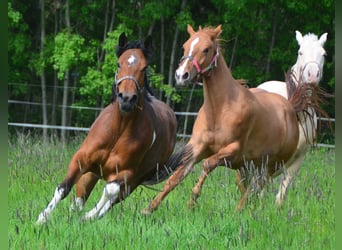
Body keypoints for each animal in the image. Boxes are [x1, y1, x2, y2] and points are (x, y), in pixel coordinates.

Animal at [36, 32, 178, 224]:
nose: (127, 98)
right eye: (119, 63)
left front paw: (88, 216)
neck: (118, 130)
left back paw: (87, 217)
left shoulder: (126, 174)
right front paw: (41, 219)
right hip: (93, 173)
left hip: (133, 182)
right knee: (80, 200)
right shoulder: (81, 160)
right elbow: (63, 188)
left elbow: (110, 191)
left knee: (111, 200)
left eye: (144, 68)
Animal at [142, 24, 308, 214]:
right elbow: (176, 177)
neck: (219, 110)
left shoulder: (232, 150)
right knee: (250, 187)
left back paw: (239, 211)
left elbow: (207, 164)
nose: (181, 75)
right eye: (185, 46)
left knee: (257, 186)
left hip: (272, 165)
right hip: (249, 167)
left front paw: (192, 200)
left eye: (206, 49)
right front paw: (149, 208)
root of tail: (290, 108)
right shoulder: (197, 147)